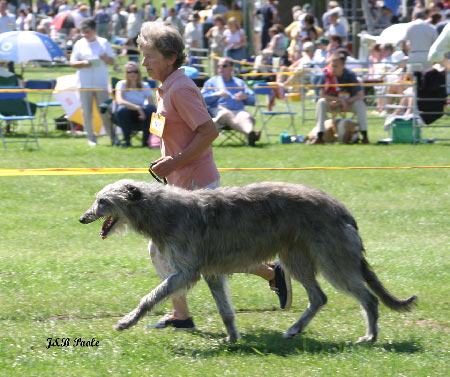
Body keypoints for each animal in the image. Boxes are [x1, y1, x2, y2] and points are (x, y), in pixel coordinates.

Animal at [79, 178, 416, 340]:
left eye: (102, 201)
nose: (82, 218)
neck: (160, 211)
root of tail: (342, 209)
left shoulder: (187, 271)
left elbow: (151, 296)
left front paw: (127, 321)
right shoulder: (211, 272)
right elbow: (225, 309)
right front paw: (232, 337)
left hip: (333, 259)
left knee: (367, 298)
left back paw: (370, 336)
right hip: (296, 257)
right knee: (319, 297)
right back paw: (295, 329)